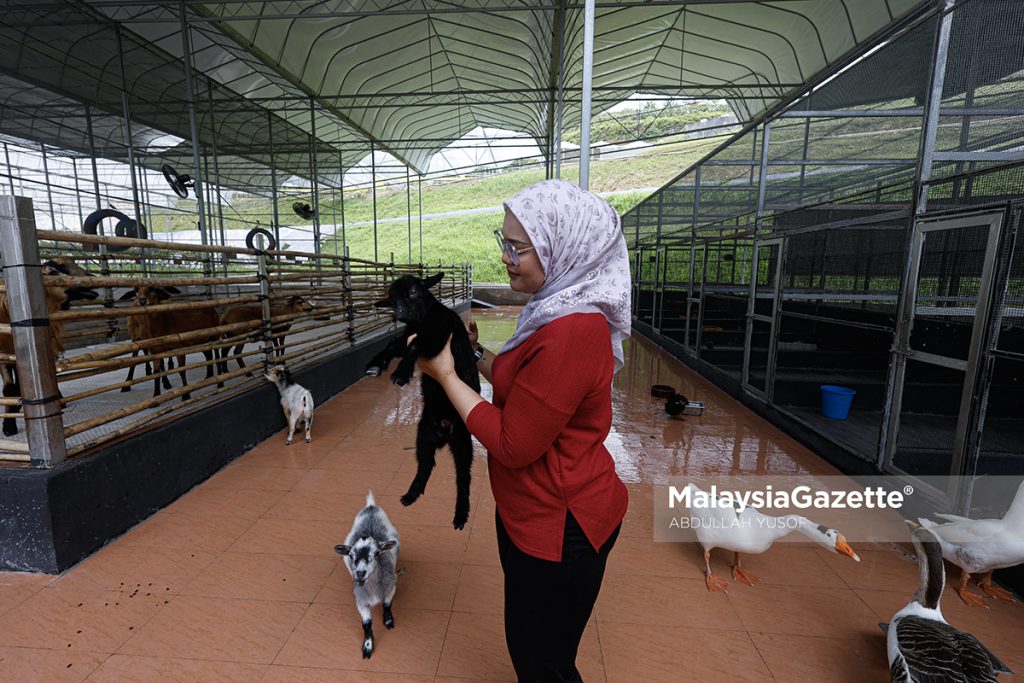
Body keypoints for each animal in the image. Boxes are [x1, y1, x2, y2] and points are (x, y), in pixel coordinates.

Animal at [335, 493, 399, 659]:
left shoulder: (391, 588)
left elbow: (387, 605)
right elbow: (366, 624)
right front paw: (367, 646)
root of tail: (370, 507)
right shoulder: (361, 600)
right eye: (351, 556)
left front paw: (388, 621)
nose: (360, 573)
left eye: (377, 553)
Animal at [366, 270, 481, 528]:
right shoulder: (405, 336)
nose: (399, 312)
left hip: (462, 440)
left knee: (464, 476)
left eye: (413, 291)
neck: (422, 320)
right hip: (424, 436)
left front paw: (401, 373)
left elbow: (415, 345)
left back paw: (461, 514)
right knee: (425, 466)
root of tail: (444, 430)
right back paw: (411, 495)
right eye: (392, 298)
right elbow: (391, 346)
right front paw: (375, 365)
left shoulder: (438, 337)